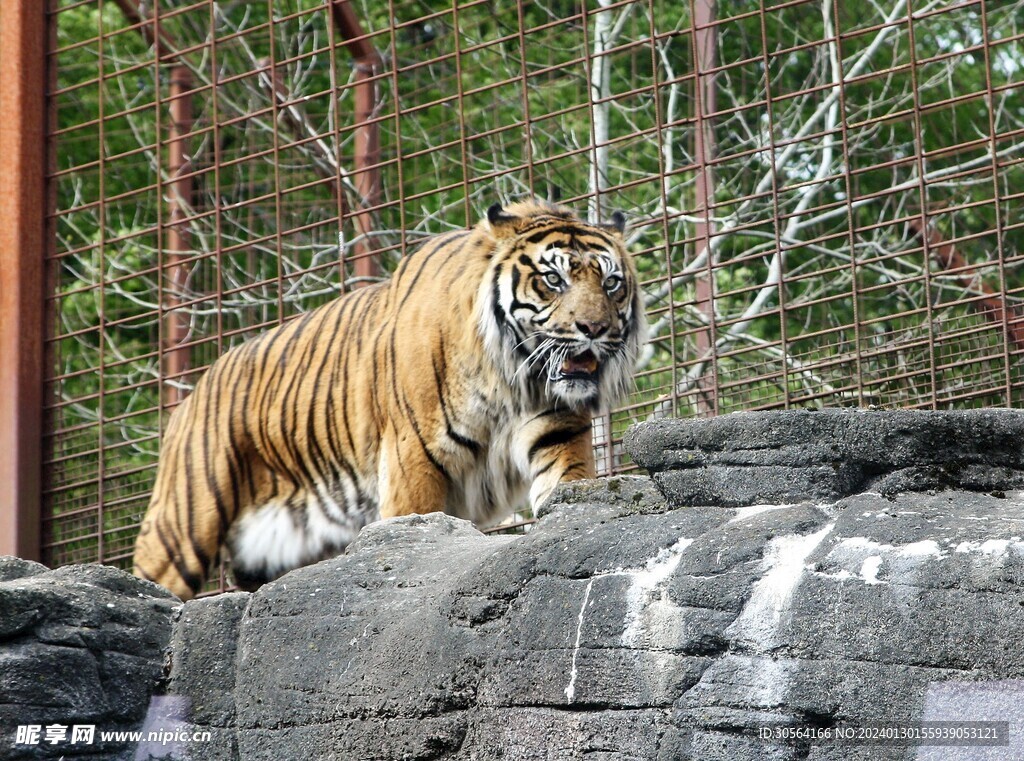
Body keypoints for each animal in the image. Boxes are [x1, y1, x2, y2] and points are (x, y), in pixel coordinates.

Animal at [132, 200, 646, 600]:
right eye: (553, 280)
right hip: (184, 522)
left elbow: (568, 488)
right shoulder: (414, 455)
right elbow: (413, 525)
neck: (513, 377)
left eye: (611, 283)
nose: (595, 329)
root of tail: (196, 388)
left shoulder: (557, 430)